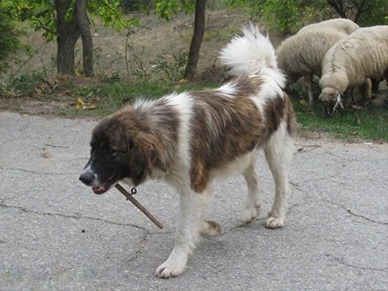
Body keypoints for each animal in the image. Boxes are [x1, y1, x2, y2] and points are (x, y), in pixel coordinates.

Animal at [80, 24, 296, 278]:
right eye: (93, 149)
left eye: (112, 152)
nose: (83, 177)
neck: (167, 128)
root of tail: (263, 75)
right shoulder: (196, 189)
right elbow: (191, 221)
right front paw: (209, 227)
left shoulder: (195, 186)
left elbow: (182, 231)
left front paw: (175, 263)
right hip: (240, 150)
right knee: (253, 179)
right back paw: (250, 210)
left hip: (275, 149)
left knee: (282, 185)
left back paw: (277, 216)